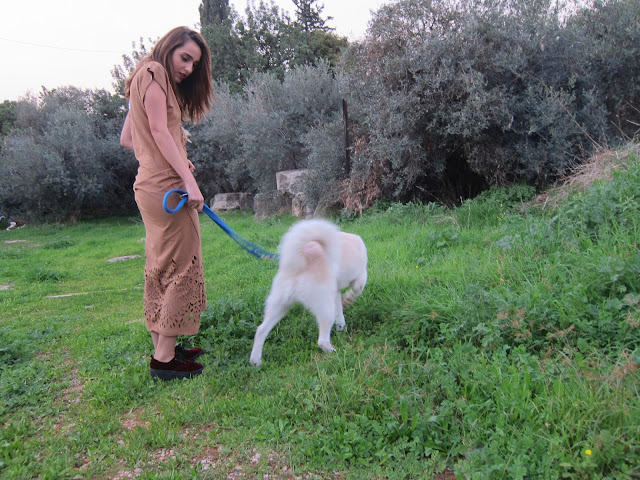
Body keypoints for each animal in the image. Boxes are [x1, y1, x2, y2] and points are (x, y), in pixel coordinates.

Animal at [249, 219, 368, 366]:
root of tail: (300, 262)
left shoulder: (335, 292)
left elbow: (339, 310)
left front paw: (341, 324)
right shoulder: (360, 278)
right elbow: (356, 290)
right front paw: (348, 299)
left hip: (279, 305)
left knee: (260, 330)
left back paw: (255, 361)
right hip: (325, 308)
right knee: (322, 340)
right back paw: (333, 353)